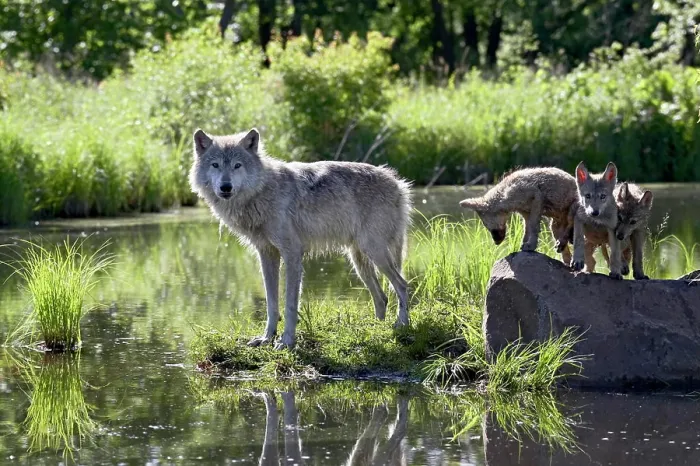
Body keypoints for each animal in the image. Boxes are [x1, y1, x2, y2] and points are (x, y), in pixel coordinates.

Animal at [189, 128, 412, 350]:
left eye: (237, 165)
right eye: (215, 165)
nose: (225, 187)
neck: (262, 193)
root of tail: (398, 183)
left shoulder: (292, 254)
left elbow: (289, 304)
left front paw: (287, 341)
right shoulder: (267, 254)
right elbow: (271, 303)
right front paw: (267, 338)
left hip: (375, 253)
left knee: (402, 285)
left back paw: (402, 324)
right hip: (359, 262)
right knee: (382, 297)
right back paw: (377, 328)